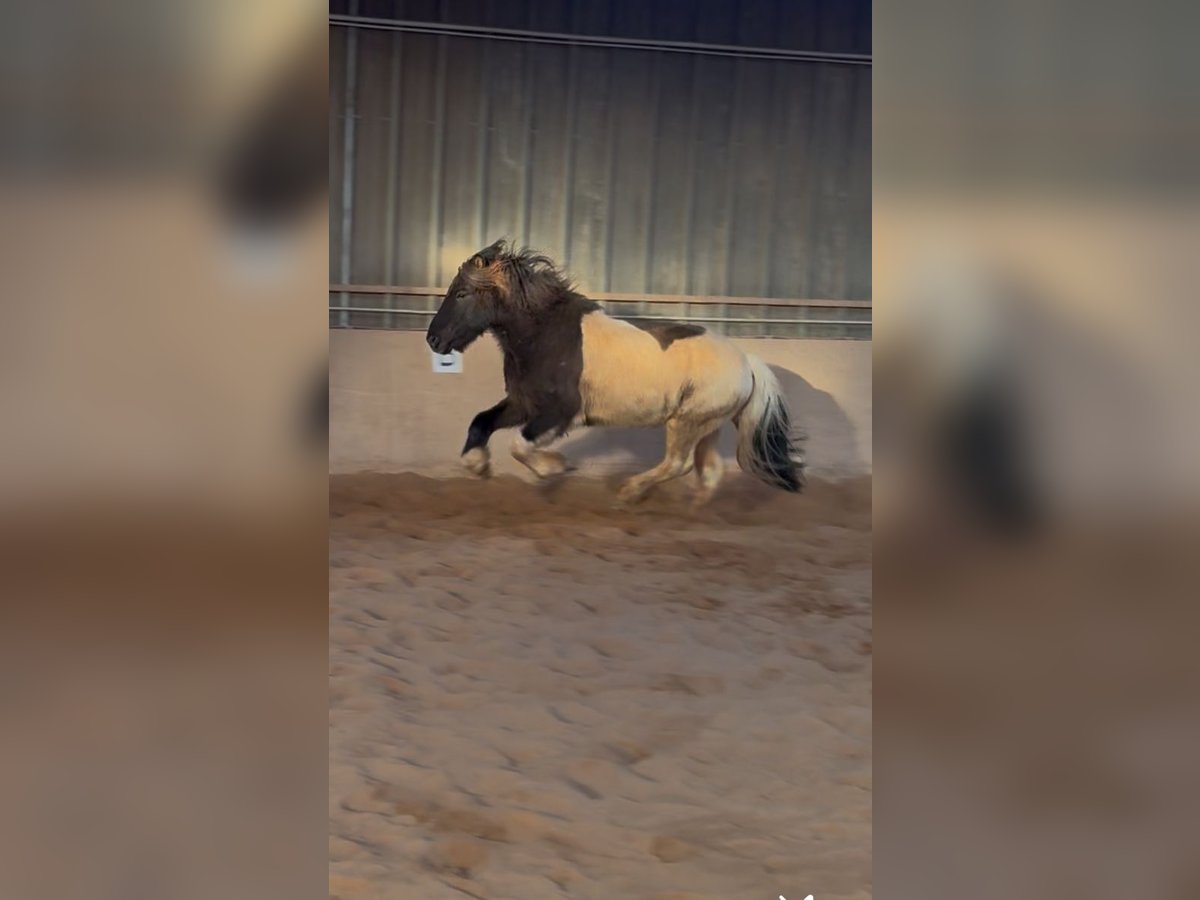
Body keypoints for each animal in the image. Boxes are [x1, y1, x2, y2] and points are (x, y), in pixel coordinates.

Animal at [426, 240, 806, 505]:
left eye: (461, 293)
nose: (433, 339)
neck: (546, 335)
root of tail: (747, 361)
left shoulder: (561, 413)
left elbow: (519, 444)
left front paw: (556, 466)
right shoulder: (524, 403)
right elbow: (481, 422)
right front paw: (478, 465)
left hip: (686, 422)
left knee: (678, 463)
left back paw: (629, 492)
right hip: (708, 425)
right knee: (709, 471)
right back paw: (691, 507)